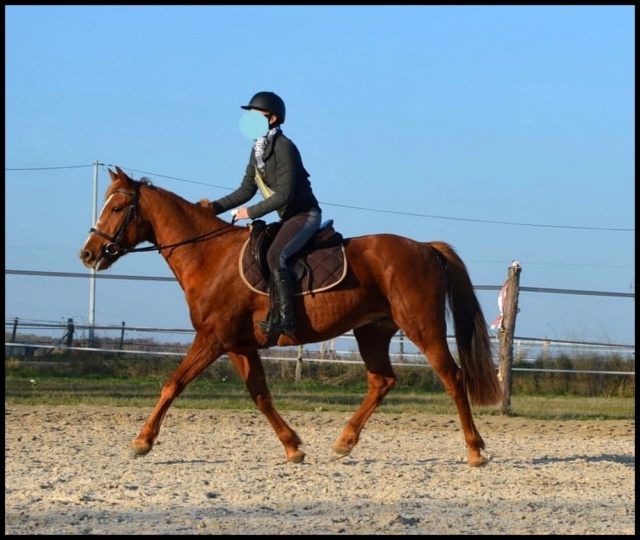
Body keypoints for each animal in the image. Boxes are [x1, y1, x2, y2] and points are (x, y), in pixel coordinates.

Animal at [77, 167, 502, 466]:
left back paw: (475, 450)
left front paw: (142, 441)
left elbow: (172, 384)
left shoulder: (212, 339)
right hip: (373, 331)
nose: (88, 253)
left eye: (117, 207)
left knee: (453, 378)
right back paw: (344, 442)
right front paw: (293, 447)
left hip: (422, 328)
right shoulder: (239, 345)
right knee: (382, 381)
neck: (210, 257)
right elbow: (261, 395)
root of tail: (427, 247)